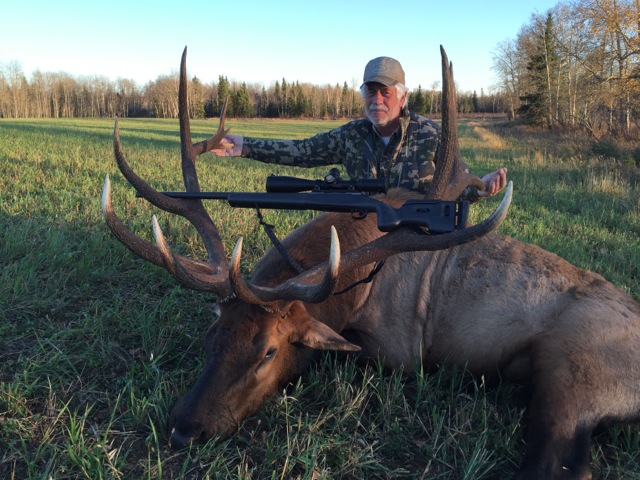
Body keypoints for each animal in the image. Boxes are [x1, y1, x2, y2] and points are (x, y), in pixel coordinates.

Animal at [102, 46, 640, 480]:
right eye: (211, 336)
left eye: (269, 351)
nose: (183, 428)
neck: (355, 288)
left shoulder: (401, 352)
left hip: (571, 374)